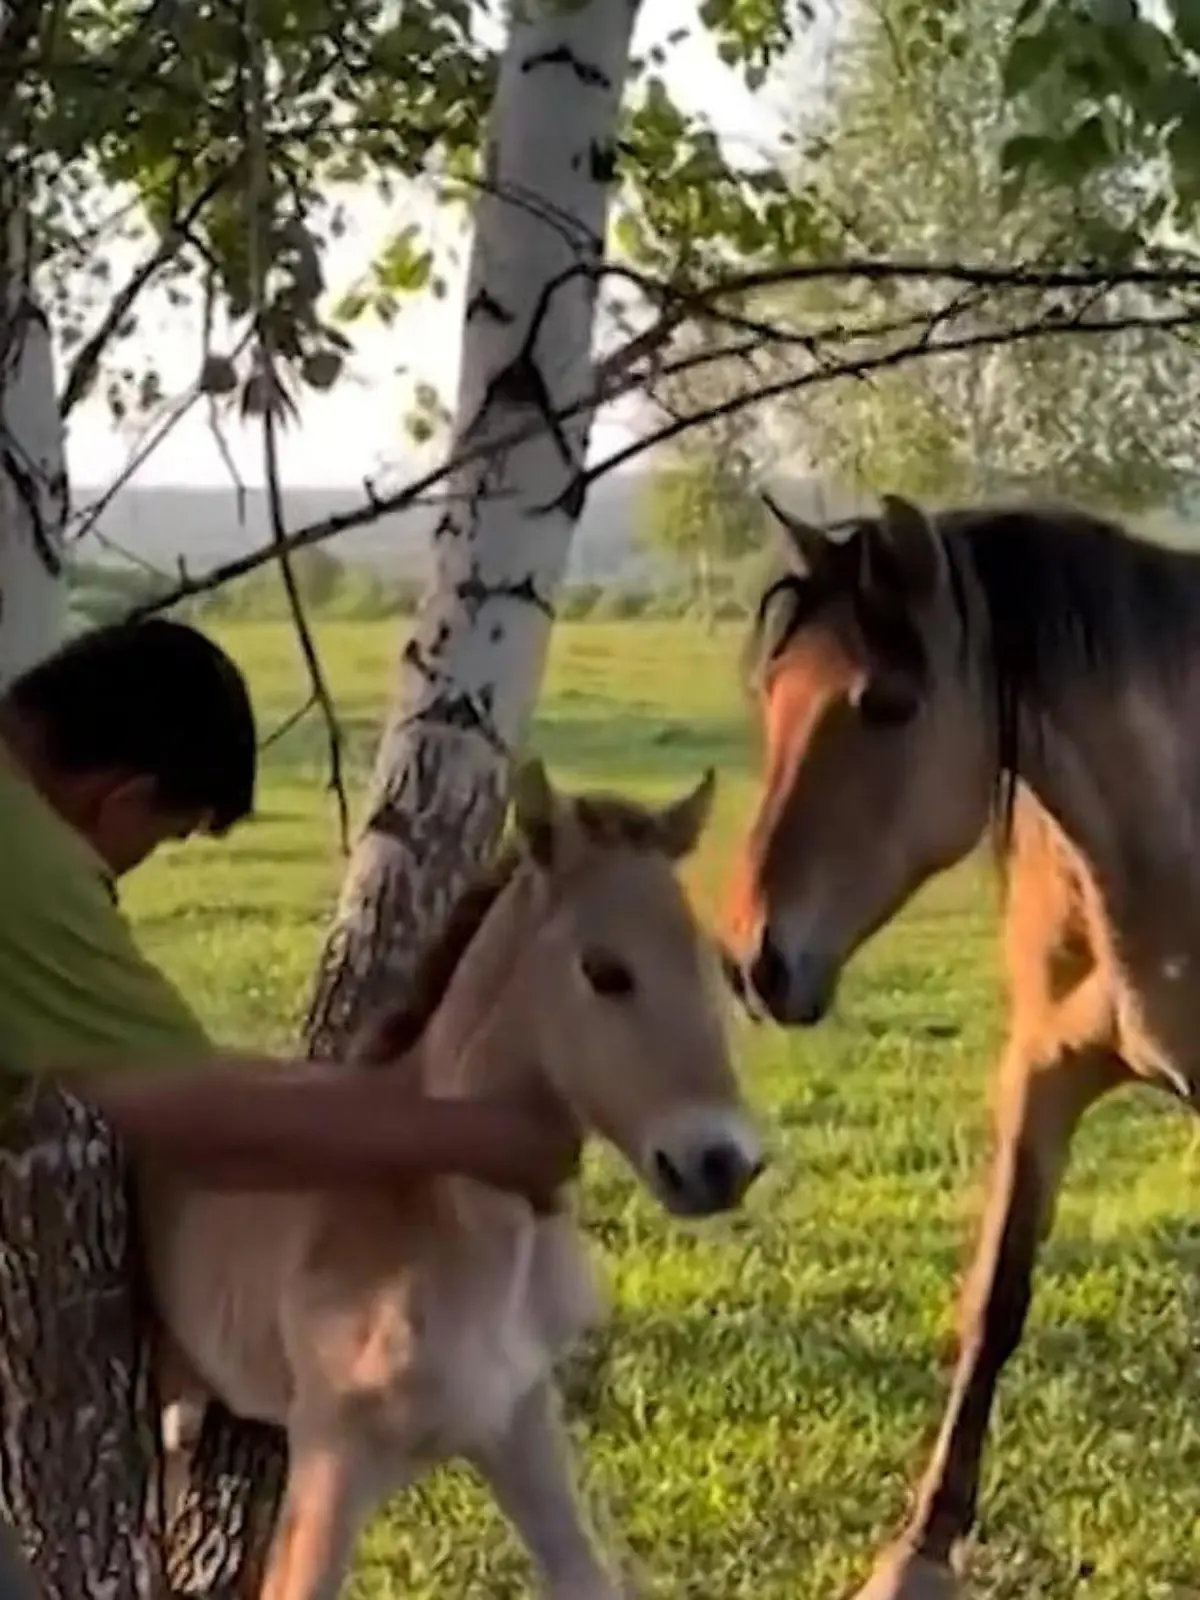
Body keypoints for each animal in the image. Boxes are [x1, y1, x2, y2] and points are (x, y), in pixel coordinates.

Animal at [146, 757, 765, 1600]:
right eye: (605, 971)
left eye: (715, 970)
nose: (724, 1163)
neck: (454, 1221)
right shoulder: (332, 1459)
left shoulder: (520, 1423)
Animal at [722, 491, 1200, 1600]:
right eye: (771, 692)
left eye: (889, 703)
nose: (754, 960)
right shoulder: (1041, 1074)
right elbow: (995, 1301)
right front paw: (920, 1548)